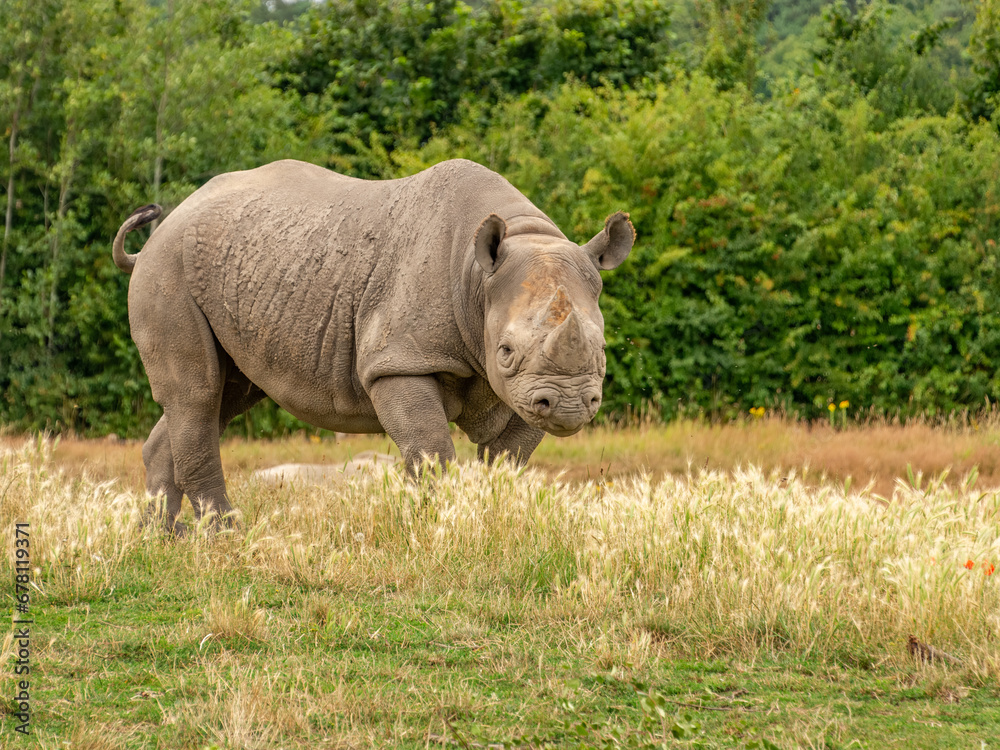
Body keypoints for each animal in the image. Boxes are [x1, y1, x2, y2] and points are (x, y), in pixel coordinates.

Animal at [113, 159, 634, 532]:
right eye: (505, 351)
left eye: (603, 349)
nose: (569, 405)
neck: (479, 278)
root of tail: (166, 225)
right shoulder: (399, 361)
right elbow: (430, 452)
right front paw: (439, 526)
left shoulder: (523, 387)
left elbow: (507, 460)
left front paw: (490, 522)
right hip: (169, 268)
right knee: (199, 394)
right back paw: (226, 534)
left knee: (225, 395)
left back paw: (159, 537)